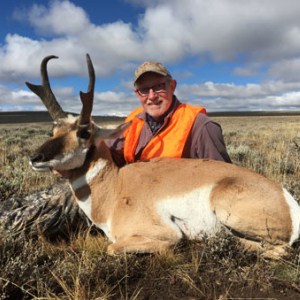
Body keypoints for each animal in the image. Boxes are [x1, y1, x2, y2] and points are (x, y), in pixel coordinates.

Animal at [27, 54, 300, 258]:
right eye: (54, 129)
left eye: (84, 132)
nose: (35, 158)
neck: (116, 188)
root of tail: (287, 199)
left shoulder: (162, 234)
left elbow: (113, 247)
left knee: (276, 249)